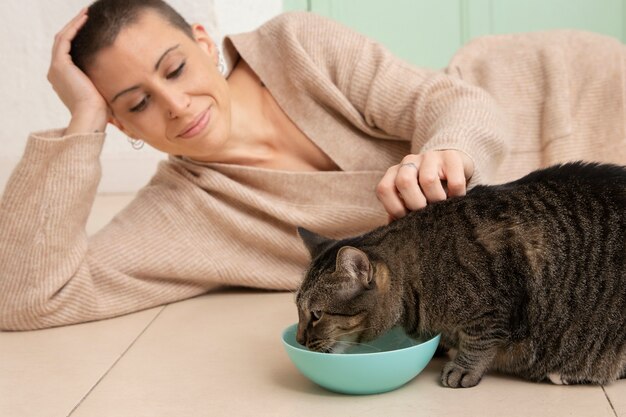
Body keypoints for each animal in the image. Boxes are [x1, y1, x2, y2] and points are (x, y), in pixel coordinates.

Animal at [294, 162, 624, 386]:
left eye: (317, 314)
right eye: (298, 310)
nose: (298, 339)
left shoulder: (495, 309)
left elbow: (480, 341)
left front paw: (463, 367)